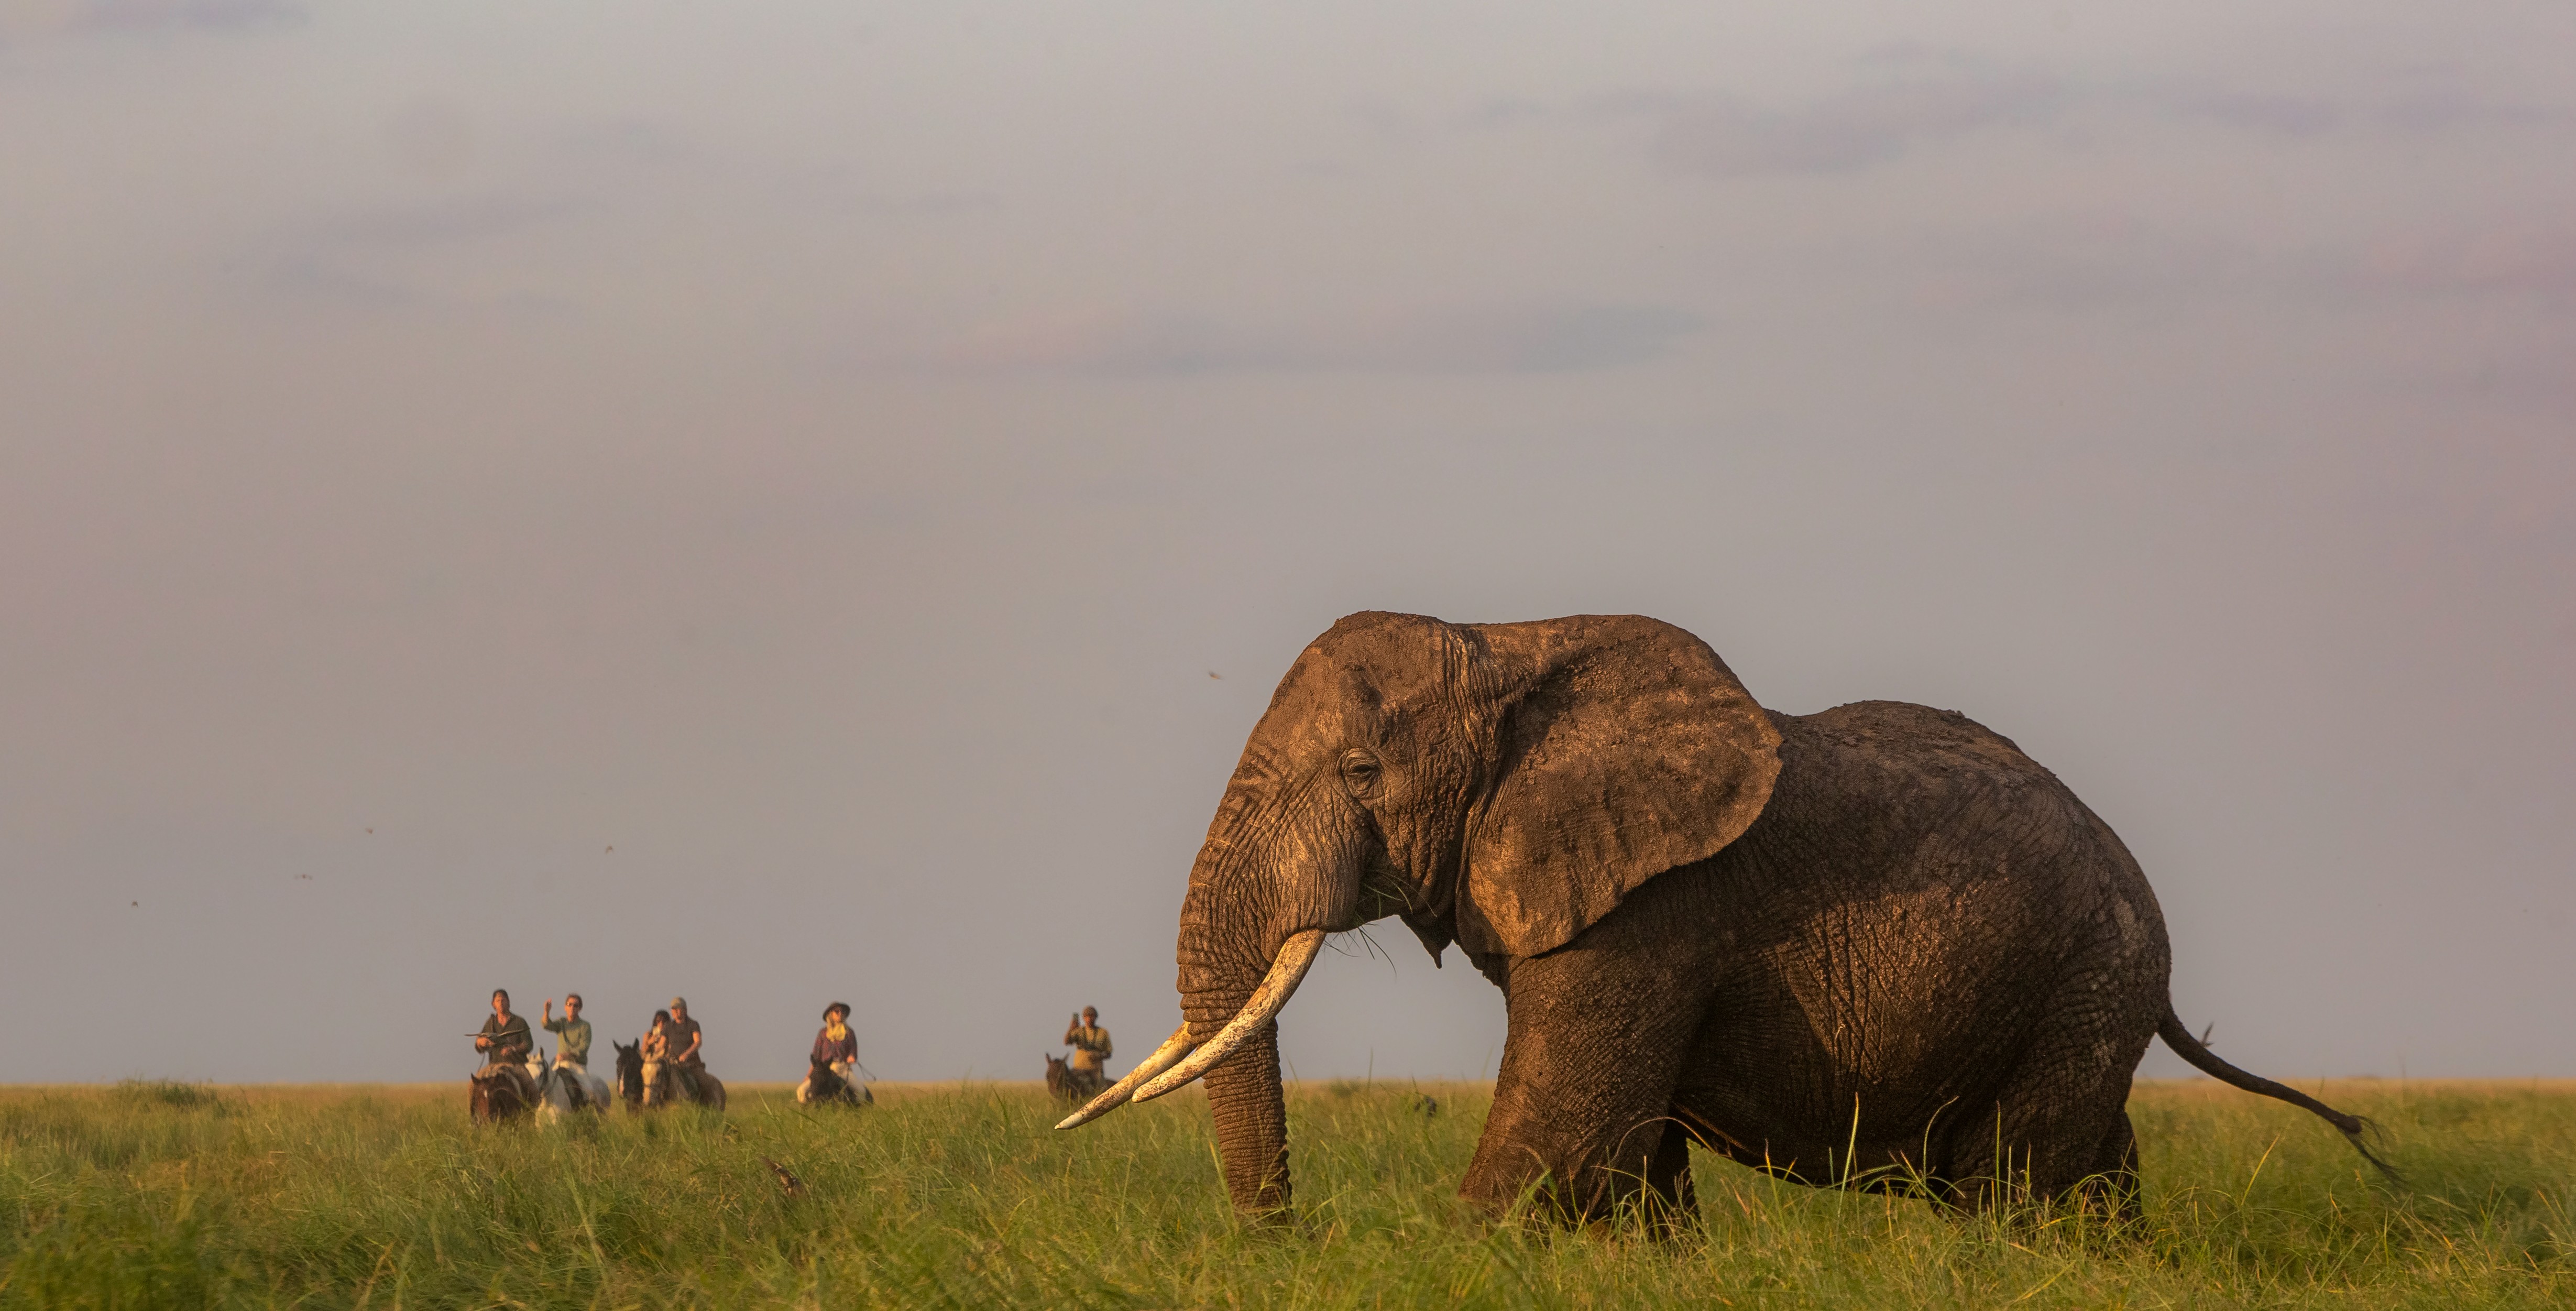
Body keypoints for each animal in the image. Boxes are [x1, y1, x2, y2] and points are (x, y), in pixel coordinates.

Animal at [1060, 611, 2390, 1224]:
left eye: (1358, 775)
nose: (1281, 1241)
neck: (1509, 640)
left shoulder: (1660, 907)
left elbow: (1560, 1136)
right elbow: (1625, 1159)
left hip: (2092, 966)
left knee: (2013, 1182)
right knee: (2090, 1172)